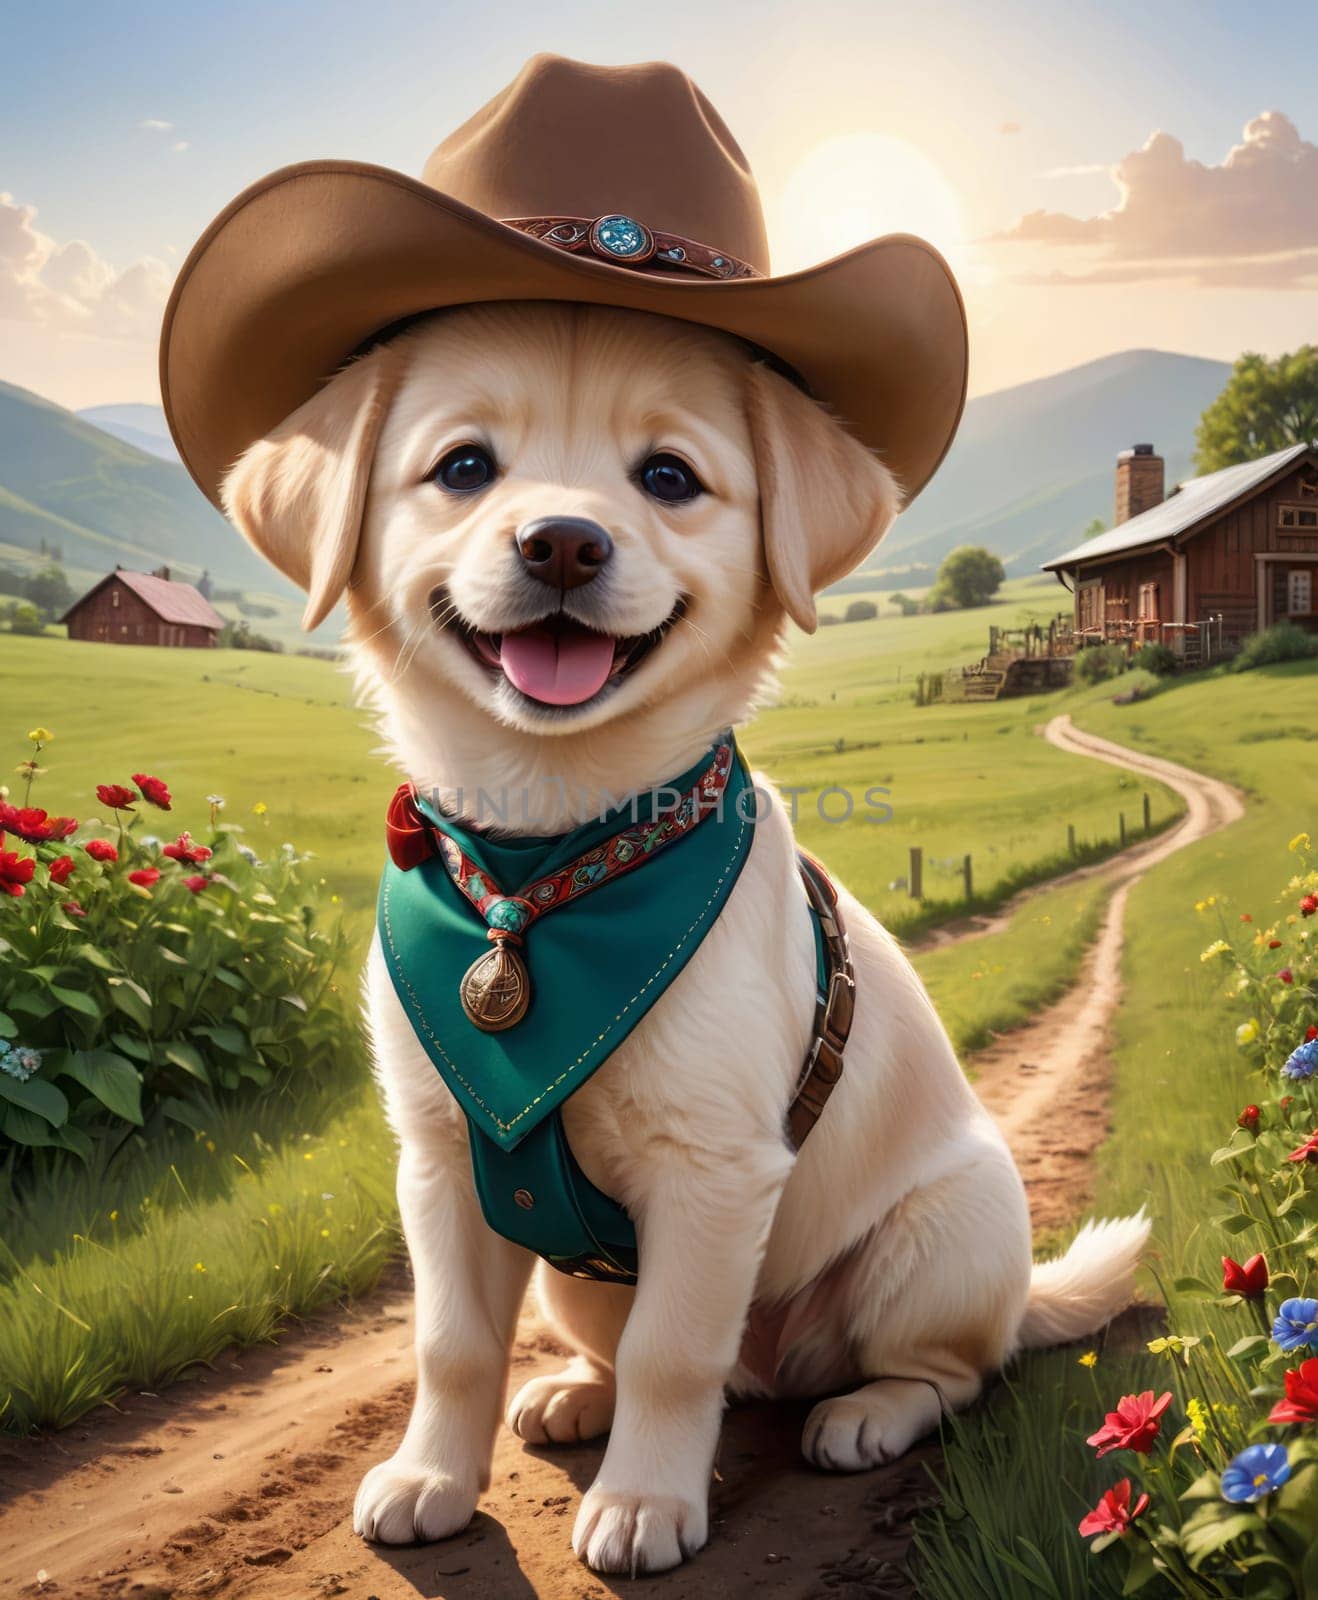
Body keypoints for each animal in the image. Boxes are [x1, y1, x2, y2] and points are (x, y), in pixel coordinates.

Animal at [220, 300, 1145, 1574]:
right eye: (462, 468)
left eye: (668, 477)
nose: (562, 543)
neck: (546, 869)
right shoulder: (442, 1164)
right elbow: (450, 1344)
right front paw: (432, 1476)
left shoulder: (710, 1170)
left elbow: (673, 1352)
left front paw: (645, 1500)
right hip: (573, 1283)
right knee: (631, 1351)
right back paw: (576, 1393)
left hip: (937, 1241)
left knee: (947, 1370)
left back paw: (863, 1412)